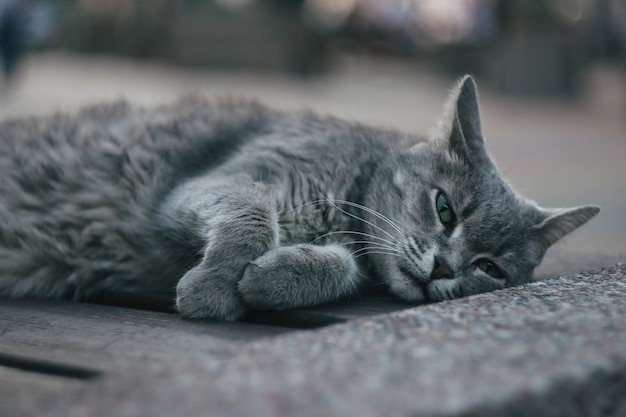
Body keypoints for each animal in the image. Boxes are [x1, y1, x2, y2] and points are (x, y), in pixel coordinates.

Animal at [0, 76, 596, 320]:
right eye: (444, 208)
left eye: (491, 269)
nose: (445, 269)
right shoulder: (223, 182)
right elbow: (253, 217)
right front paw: (213, 290)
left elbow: (343, 268)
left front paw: (271, 279)